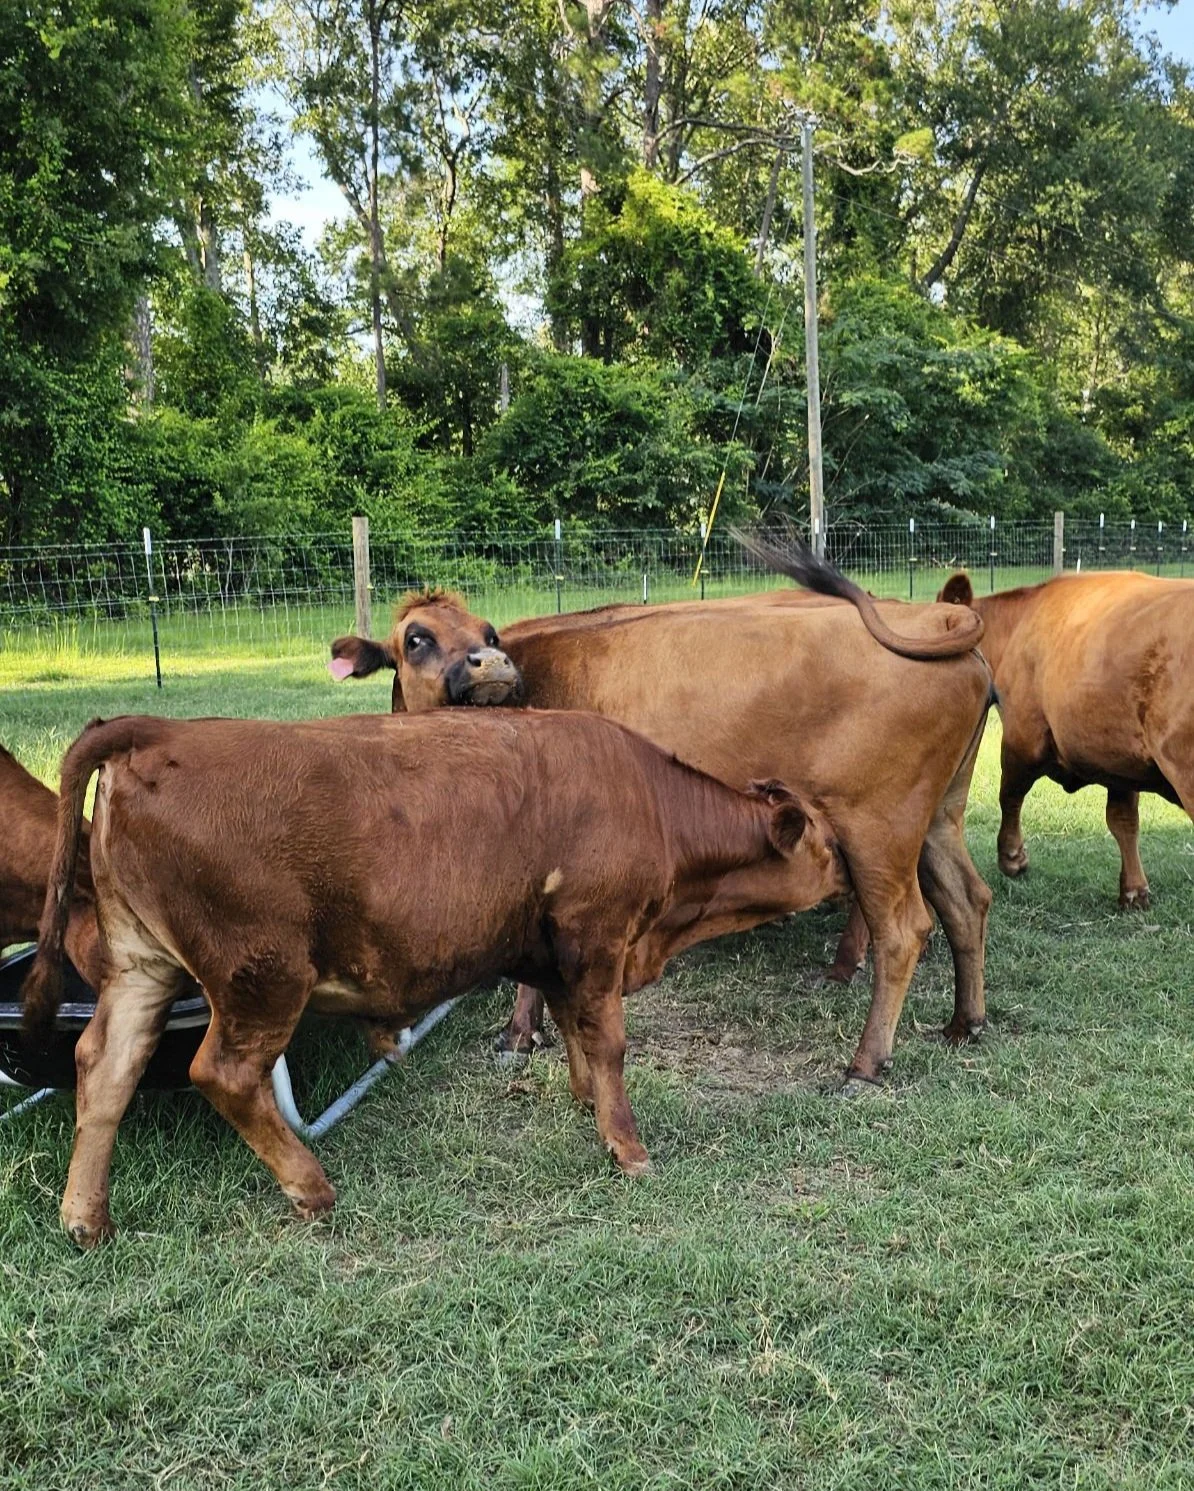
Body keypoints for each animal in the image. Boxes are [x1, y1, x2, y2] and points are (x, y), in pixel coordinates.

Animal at [23, 709, 846, 1247]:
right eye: (830, 845)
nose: (849, 873)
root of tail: (162, 729)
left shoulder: (554, 951)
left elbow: (573, 1029)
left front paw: (584, 1099)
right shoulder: (597, 933)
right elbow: (608, 1040)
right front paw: (628, 1148)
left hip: (141, 966)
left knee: (105, 1067)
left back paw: (85, 1218)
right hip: (262, 971)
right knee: (220, 1073)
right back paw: (311, 1187)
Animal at [330, 539, 996, 1091]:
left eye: (488, 633)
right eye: (416, 638)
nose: (488, 663)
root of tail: (935, 618)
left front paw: (519, 1034)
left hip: (877, 828)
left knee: (903, 932)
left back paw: (864, 1063)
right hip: (937, 818)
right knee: (968, 901)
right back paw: (964, 1023)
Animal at [938, 568, 1194, 908]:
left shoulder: (1023, 735)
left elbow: (1009, 794)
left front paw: (1012, 857)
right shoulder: (1115, 755)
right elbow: (1123, 820)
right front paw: (1134, 891)